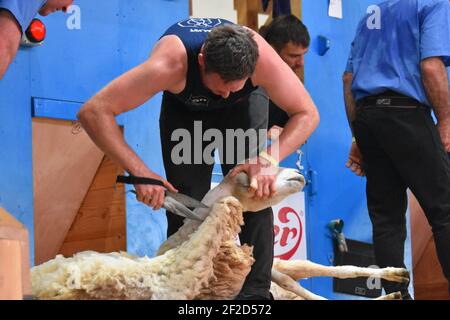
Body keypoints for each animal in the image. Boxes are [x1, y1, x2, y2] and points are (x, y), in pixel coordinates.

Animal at [29, 168, 406, 300]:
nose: (299, 175)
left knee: (333, 272)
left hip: (288, 267)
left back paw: (397, 277)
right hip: (283, 274)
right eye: (252, 175)